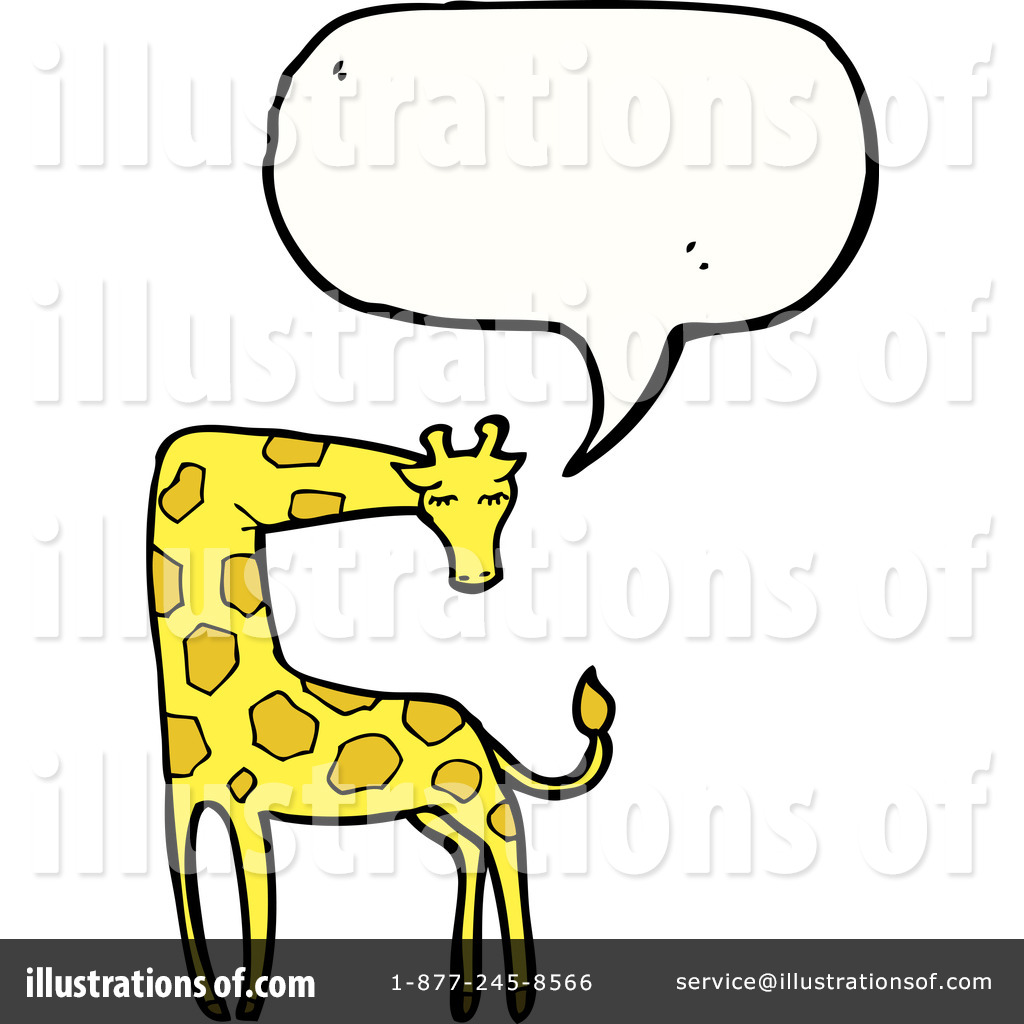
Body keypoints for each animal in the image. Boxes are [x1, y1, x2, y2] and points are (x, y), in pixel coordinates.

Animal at [148, 415, 615, 1022]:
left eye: (501, 497)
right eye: (439, 498)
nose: (478, 576)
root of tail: (480, 731)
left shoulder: (250, 808)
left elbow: (258, 911)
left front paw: (247, 1008)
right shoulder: (183, 803)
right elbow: (192, 902)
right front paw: (212, 1005)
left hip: (474, 794)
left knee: (506, 840)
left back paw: (519, 999)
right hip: (432, 809)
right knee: (471, 853)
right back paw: (464, 998)